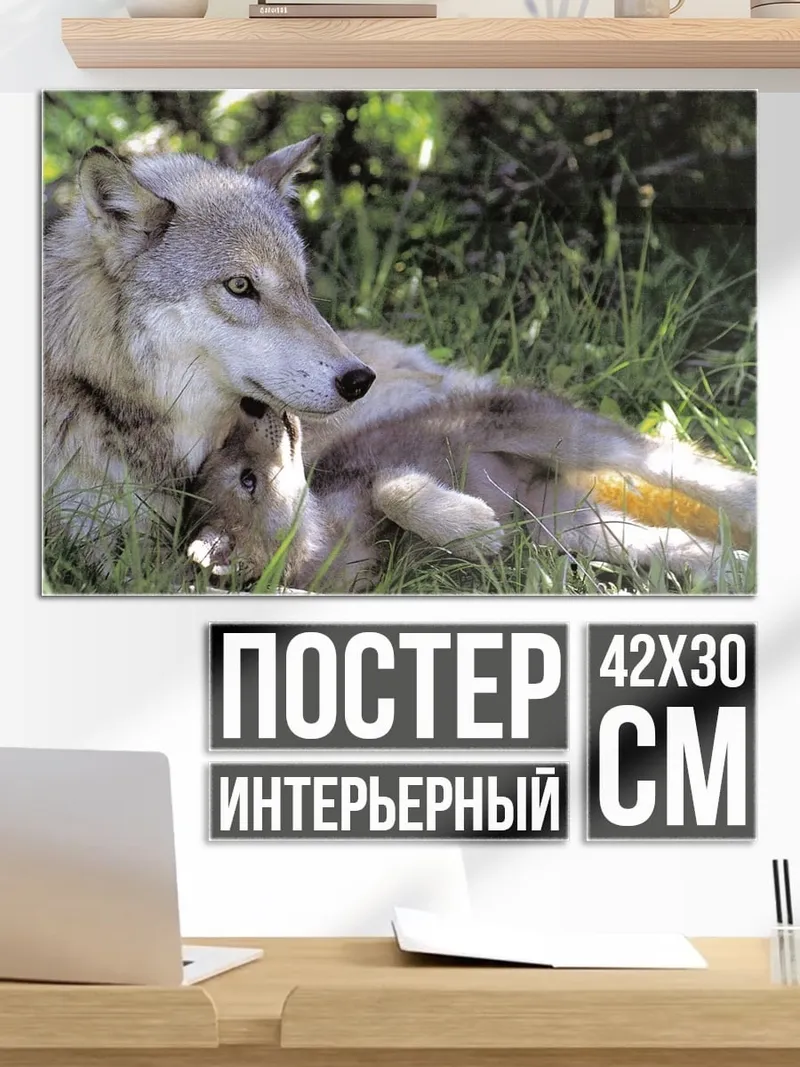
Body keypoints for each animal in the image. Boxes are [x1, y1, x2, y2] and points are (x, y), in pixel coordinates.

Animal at [187, 379, 755, 592]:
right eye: (247, 480)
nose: (257, 407)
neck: (327, 538)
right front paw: (479, 533)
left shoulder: (373, 477)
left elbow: (397, 493)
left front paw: (473, 530)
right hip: (573, 531)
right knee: (671, 543)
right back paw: (732, 568)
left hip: (560, 437)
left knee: (672, 463)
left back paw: (750, 502)